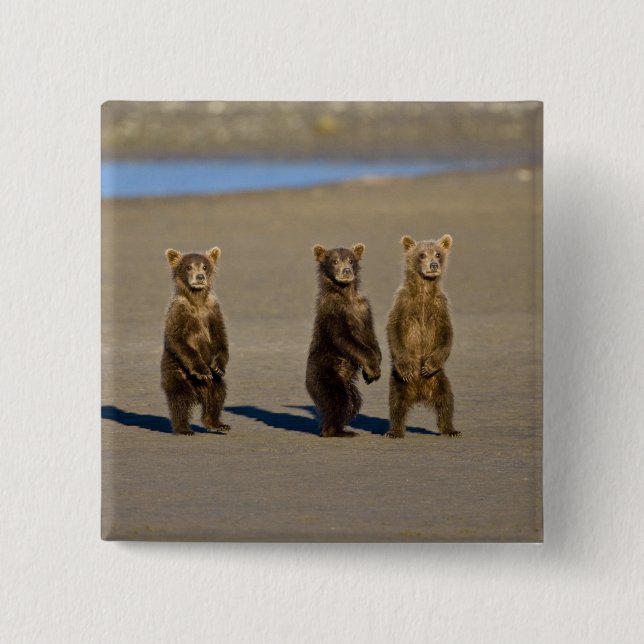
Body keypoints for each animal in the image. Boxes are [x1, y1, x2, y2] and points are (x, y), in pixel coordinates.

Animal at [160, 247, 230, 436]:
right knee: (179, 401)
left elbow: (220, 338)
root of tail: (198, 392)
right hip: (177, 373)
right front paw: (203, 370)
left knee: (217, 395)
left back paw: (217, 423)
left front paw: (218, 366)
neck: (197, 301)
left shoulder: (212, 311)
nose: (200, 277)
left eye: (205, 266)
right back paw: (183, 428)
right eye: (188, 267)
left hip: (214, 384)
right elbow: (177, 339)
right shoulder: (179, 313)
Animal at [306, 243, 382, 437]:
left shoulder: (363, 308)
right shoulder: (334, 311)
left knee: (353, 401)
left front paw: (372, 371)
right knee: (337, 400)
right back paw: (334, 430)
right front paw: (372, 368)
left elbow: (371, 337)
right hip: (325, 374)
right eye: (334, 261)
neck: (346, 294)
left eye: (351, 260)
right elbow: (346, 339)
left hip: (346, 383)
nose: (346, 271)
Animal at [385, 234, 460, 438]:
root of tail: (419, 394)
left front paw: (429, 364)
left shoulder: (439, 306)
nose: (433, 265)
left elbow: (447, 334)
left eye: (438, 254)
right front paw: (406, 366)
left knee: (445, 401)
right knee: (396, 404)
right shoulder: (403, 303)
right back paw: (394, 431)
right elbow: (393, 329)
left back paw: (451, 429)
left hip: (438, 379)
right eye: (422, 255)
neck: (424, 290)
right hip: (399, 383)